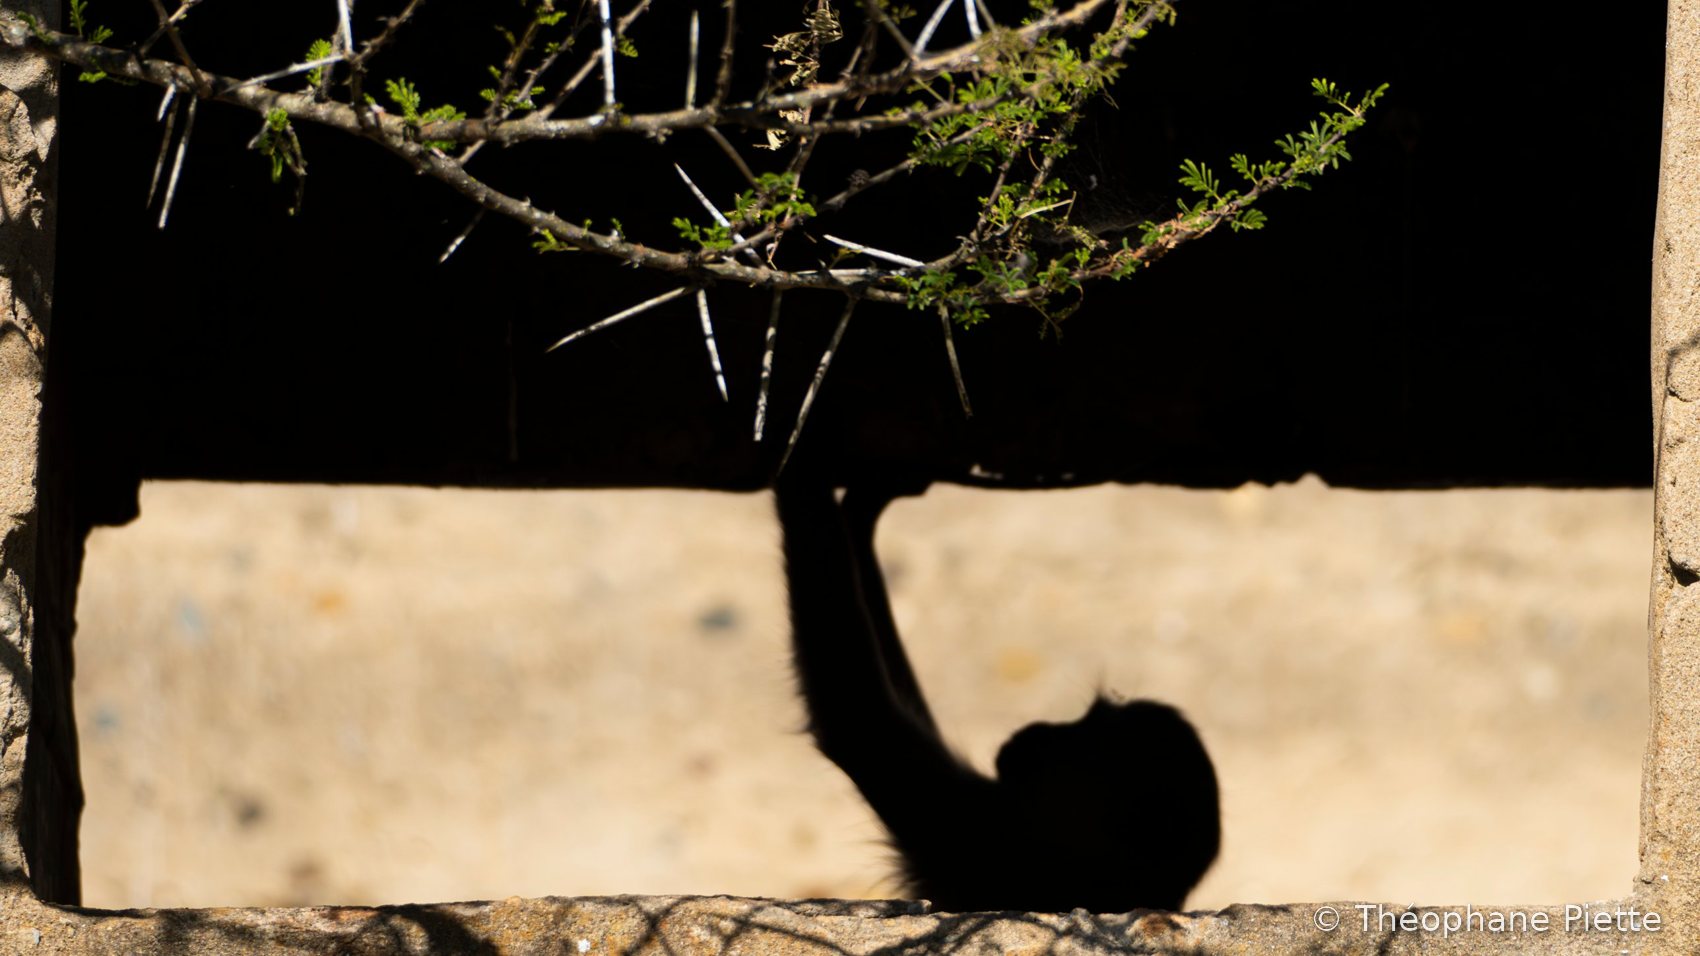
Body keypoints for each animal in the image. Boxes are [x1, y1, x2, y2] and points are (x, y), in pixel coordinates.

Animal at [775, 478, 1221, 914]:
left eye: (1083, 733)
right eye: (1084, 717)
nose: (1042, 728)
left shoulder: (986, 829)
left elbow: (854, 716)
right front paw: (865, 508)